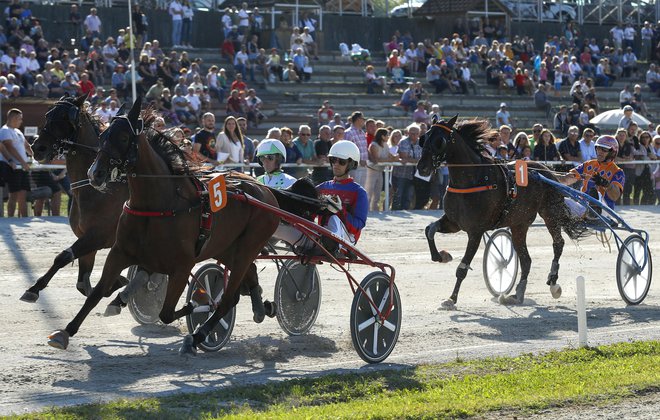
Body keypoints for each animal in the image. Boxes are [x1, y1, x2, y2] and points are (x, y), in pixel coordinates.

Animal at [21, 95, 127, 302]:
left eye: (65, 117)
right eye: (48, 115)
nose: (38, 148)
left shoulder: (98, 236)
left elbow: (62, 257)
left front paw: (34, 288)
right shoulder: (87, 239)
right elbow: (82, 283)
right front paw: (117, 283)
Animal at [45, 98, 278, 354]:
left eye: (123, 137)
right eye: (104, 135)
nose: (95, 173)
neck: (158, 203)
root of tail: (264, 190)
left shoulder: (180, 265)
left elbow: (167, 311)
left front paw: (196, 304)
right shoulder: (117, 251)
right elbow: (94, 292)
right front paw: (65, 332)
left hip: (248, 246)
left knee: (227, 299)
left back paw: (200, 334)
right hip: (226, 248)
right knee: (248, 274)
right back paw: (258, 307)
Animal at [416, 116, 584, 310]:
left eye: (439, 141)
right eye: (423, 138)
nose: (422, 167)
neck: (473, 179)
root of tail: (547, 171)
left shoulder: (475, 231)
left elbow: (462, 268)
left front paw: (451, 298)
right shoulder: (453, 222)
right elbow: (429, 230)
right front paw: (441, 256)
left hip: (550, 213)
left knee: (558, 243)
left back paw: (553, 281)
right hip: (519, 224)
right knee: (526, 260)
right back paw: (517, 294)